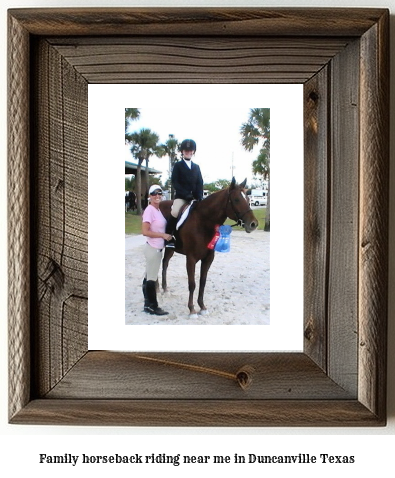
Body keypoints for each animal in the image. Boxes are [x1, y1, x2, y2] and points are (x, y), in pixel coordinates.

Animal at [159, 177, 258, 320]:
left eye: (248, 198)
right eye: (236, 199)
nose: (253, 224)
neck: (203, 222)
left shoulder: (208, 258)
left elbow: (202, 282)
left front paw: (202, 307)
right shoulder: (191, 259)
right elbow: (192, 284)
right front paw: (192, 310)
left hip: (170, 249)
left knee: (165, 263)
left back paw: (165, 289)